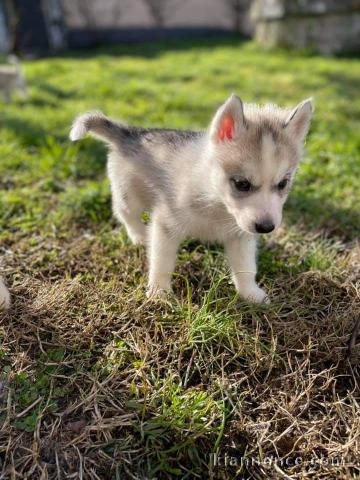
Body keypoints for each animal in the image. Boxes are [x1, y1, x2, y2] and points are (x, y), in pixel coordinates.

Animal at [70, 94, 312, 302]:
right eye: (242, 184)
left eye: (283, 184)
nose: (266, 227)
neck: (216, 202)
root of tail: (130, 132)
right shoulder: (165, 224)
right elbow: (162, 262)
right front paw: (159, 293)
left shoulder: (240, 235)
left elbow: (246, 267)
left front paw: (251, 294)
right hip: (129, 195)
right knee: (124, 213)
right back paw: (139, 235)